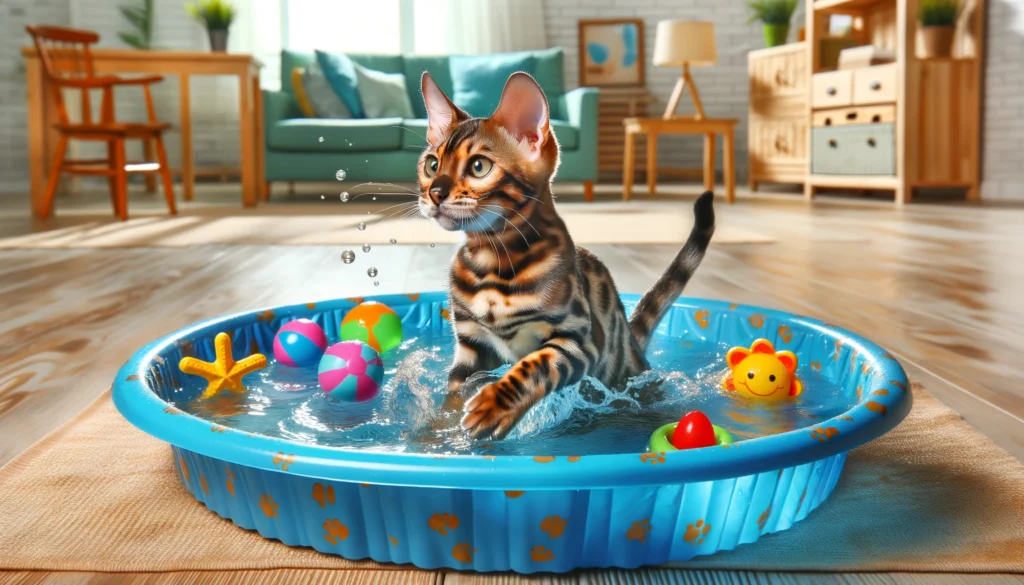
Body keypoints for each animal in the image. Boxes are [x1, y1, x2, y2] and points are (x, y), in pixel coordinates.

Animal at [413, 72, 712, 438]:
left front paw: (494, 406)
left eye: (479, 167)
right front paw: (438, 432)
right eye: (432, 165)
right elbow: (453, 397)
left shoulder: (577, 340)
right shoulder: (471, 349)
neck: (492, 264)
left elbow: (532, 368)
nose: (435, 193)